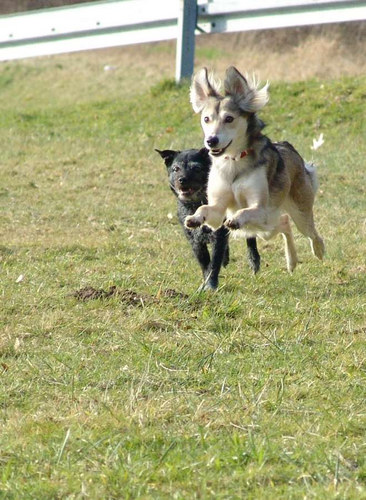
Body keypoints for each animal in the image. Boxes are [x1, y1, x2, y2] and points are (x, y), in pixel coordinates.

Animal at [156, 146, 258, 292]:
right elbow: (204, 263)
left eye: (197, 168)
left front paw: (211, 286)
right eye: (176, 168)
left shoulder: (218, 235)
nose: (182, 179)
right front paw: (204, 285)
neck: (196, 206)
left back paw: (254, 260)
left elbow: (214, 263)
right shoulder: (194, 239)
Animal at [186, 66, 326, 272]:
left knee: (310, 231)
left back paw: (318, 250)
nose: (211, 140)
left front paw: (235, 219)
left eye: (229, 118)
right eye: (206, 119)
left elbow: (244, 211)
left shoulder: (260, 208)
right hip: (264, 228)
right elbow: (205, 208)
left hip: (292, 214)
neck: (233, 161)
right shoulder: (218, 213)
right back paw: (291, 261)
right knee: (284, 223)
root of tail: (288, 146)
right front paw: (194, 218)